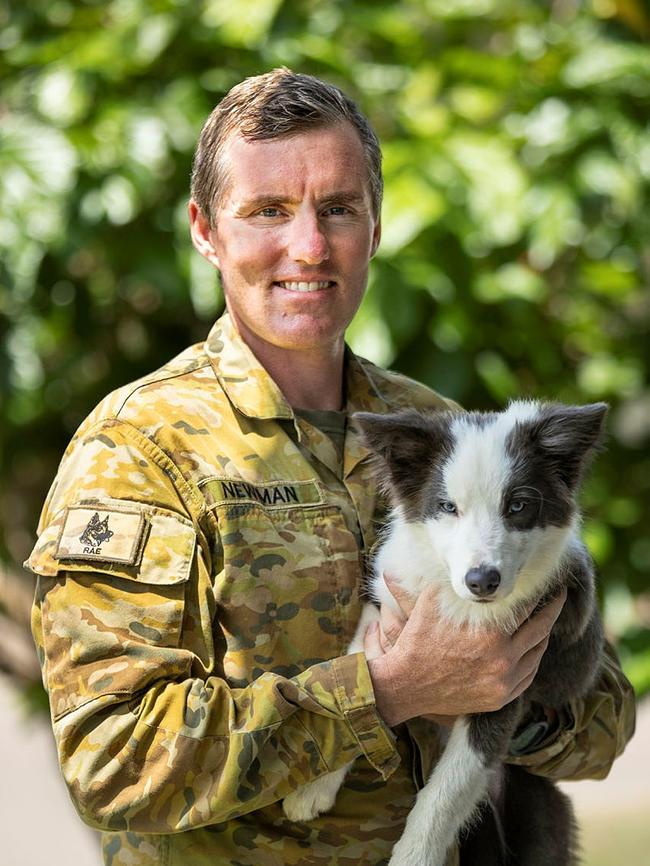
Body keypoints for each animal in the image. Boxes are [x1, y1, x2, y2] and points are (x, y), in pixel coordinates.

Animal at [284, 400, 608, 864]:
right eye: (447, 507)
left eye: (518, 506)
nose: (482, 581)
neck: (459, 603)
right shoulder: (385, 605)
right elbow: (356, 672)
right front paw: (313, 786)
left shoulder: (508, 680)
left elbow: (448, 789)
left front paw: (414, 855)